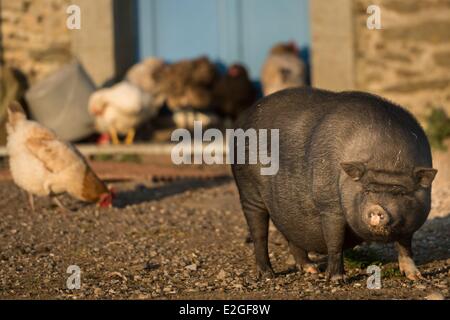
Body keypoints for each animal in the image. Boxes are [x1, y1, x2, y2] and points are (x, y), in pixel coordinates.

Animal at [232, 86, 436, 282]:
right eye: (367, 190)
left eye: (401, 193)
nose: (378, 208)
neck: (386, 159)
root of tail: (244, 119)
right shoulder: (329, 205)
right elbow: (335, 242)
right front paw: (336, 280)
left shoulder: (411, 221)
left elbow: (405, 245)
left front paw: (416, 277)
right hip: (247, 189)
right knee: (259, 233)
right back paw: (268, 275)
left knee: (290, 234)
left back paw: (311, 270)